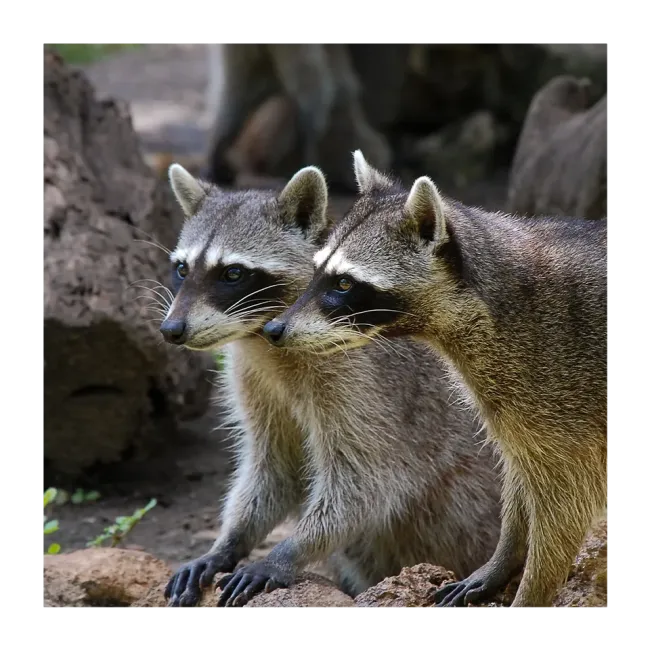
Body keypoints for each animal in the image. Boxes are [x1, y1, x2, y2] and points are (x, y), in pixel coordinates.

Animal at [160, 163, 502, 608]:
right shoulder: (254, 377)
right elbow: (273, 467)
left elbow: (368, 480)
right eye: (182, 269)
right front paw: (228, 541)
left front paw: (288, 552)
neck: (266, 335)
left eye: (232, 273)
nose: (171, 330)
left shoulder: (365, 380)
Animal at [263, 151, 608, 609]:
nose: (274, 329)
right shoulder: (516, 406)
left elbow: (564, 512)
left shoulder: (563, 394)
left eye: (344, 283)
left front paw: (533, 587)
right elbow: (520, 479)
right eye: (317, 271)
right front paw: (504, 557)